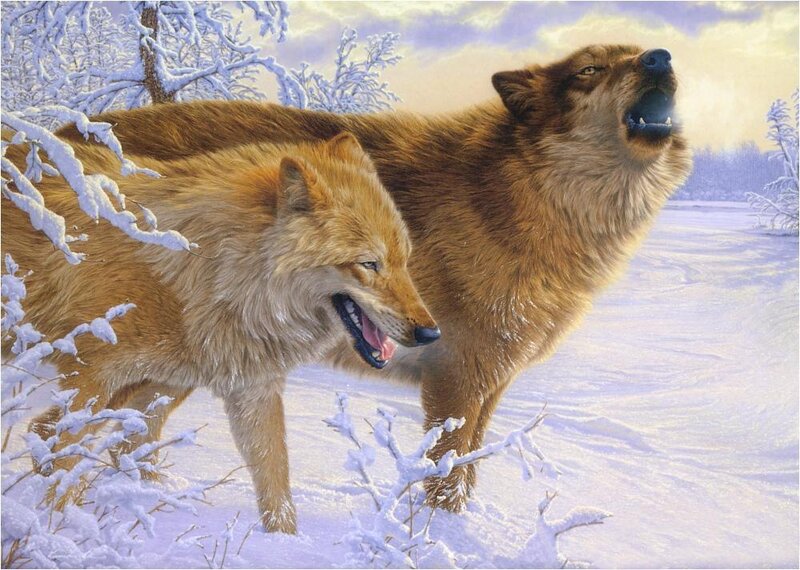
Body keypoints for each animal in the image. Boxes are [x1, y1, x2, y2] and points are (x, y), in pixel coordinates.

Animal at [1, 133, 440, 533]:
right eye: (369, 264)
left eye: (404, 261)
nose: (430, 333)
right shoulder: (90, 378)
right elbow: (63, 457)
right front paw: (55, 528)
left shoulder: (250, 388)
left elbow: (274, 477)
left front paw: (282, 545)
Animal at [57, 44, 693, 511]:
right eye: (590, 70)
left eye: (636, 53)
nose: (661, 57)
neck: (522, 200)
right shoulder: (457, 380)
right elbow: (444, 479)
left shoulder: (493, 383)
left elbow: (468, 473)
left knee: (127, 435)